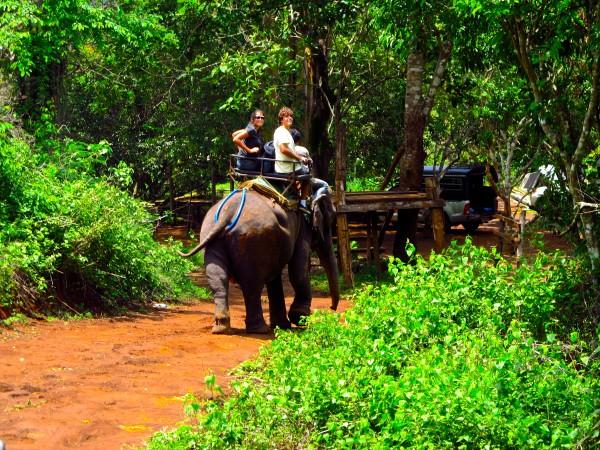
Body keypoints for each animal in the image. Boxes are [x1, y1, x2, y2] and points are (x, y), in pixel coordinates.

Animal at [178, 181, 340, 332]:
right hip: (254, 238)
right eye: (331, 219)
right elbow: (298, 269)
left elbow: (277, 277)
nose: (332, 308)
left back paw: (221, 327)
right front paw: (300, 318)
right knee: (252, 284)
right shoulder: (303, 227)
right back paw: (259, 329)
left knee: (218, 278)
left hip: (211, 233)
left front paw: (283, 325)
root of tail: (227, 213)